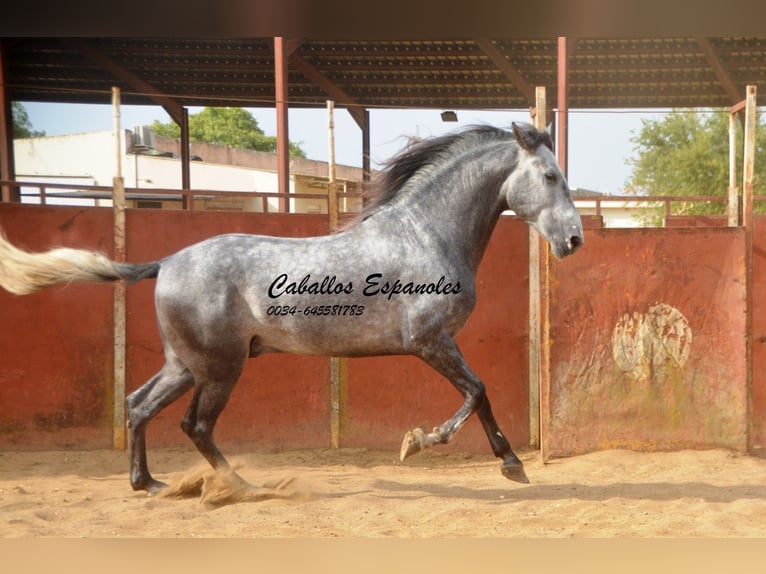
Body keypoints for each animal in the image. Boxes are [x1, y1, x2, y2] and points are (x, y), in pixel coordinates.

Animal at [0, 122, 583, 494]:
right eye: (551, 176)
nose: (574, 240)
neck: (425, 234)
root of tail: (165, 262)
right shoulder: (428, 342)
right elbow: (478, 391)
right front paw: (439, 447)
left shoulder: (435, 345)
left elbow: (476, 393)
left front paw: (494, 460)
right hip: (220, 368)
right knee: (195, 425)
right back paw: (242, 486)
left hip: (186, 363)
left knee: (139, 405)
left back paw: (148, 484)